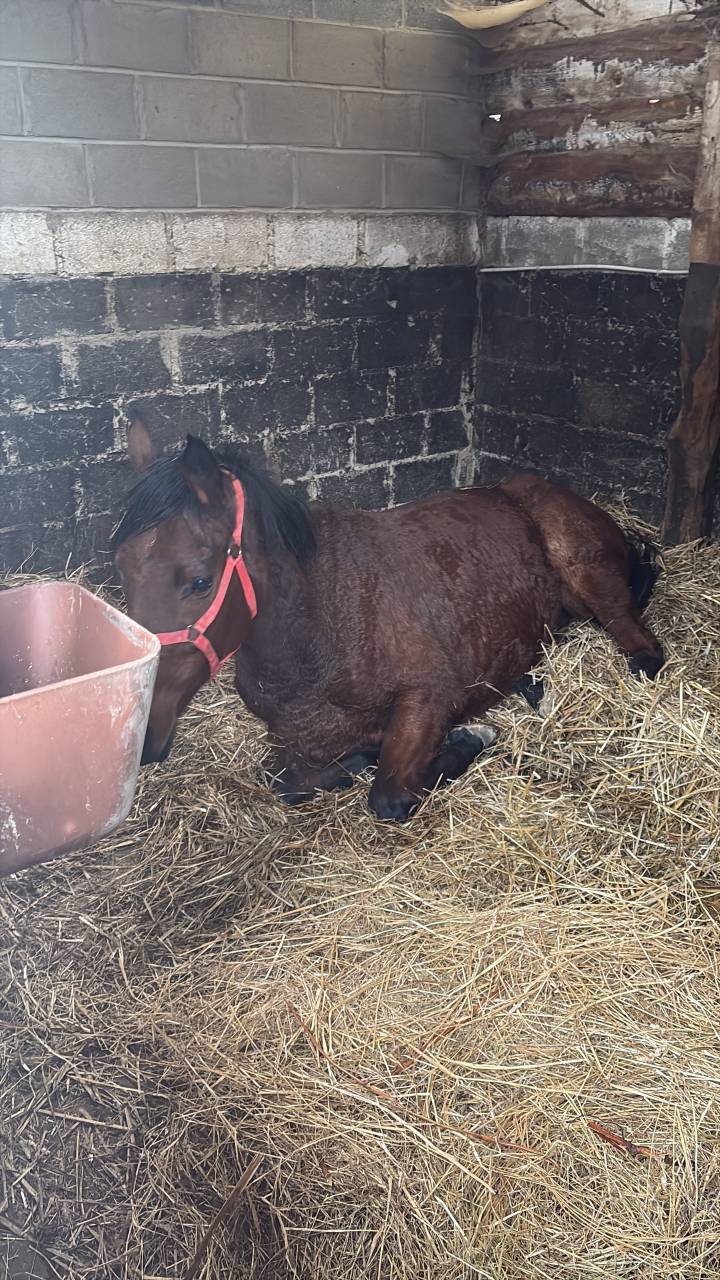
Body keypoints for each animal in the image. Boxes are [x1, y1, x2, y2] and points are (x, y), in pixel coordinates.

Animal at [113, 422, 664, 822]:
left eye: (200, 581)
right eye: (122, 570)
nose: (144, 736)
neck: (323, 623)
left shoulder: (430, 697)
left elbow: (390, 796)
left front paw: (469, 737)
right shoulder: (289, 741)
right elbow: (289, 783)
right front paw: (359, 759)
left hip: (586, 574)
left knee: (639, 643)